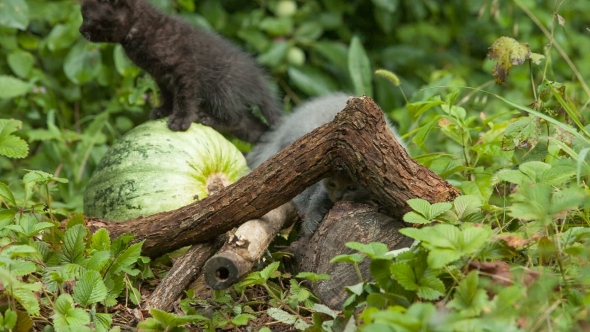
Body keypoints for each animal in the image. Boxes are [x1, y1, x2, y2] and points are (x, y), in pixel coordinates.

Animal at [80, 0, 282, 142]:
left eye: (88, 18)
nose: (80, 30)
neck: (140, 28)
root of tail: (259, 81)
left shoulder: (185, 68)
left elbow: (185, 96)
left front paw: (181, 119)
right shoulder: (161, 75)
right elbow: (169, 94)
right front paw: (164, 110)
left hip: (222, 89)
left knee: (235, 118)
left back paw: (208, 119)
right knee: (252, 126)